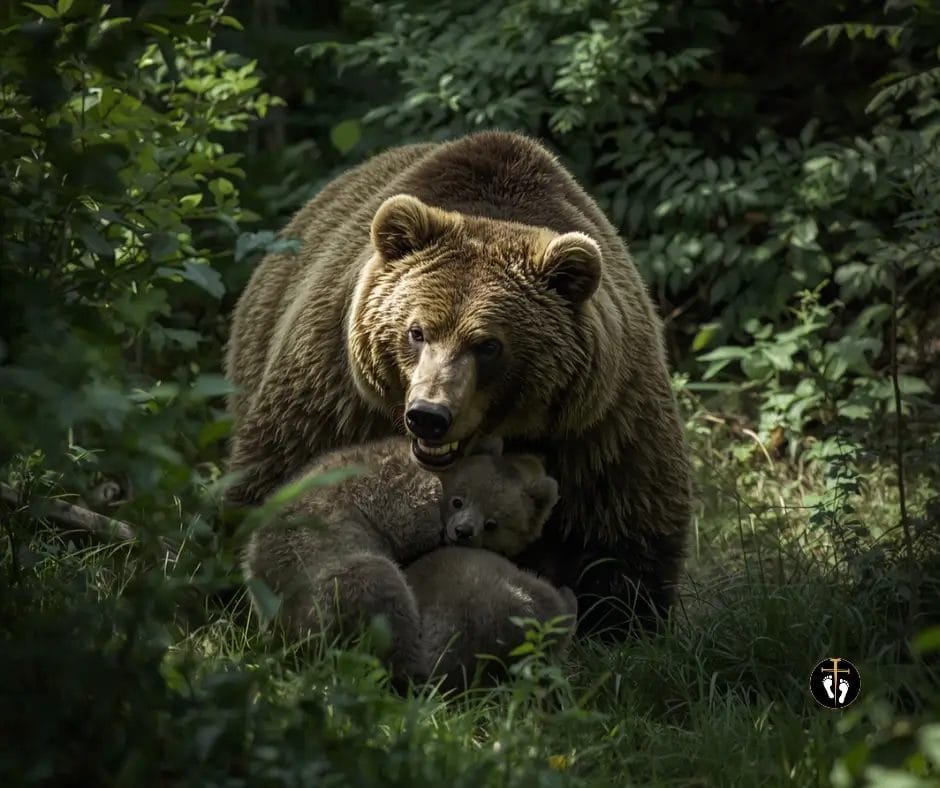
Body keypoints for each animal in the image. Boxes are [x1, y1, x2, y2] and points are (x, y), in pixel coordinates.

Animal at [226, 129, 692, 637]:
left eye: (489, 345)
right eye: (416, 331)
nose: (429, 416)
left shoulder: (600, 420)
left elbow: (624, 526)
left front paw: (621, 617)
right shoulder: (336, 393)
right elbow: (280, 485)